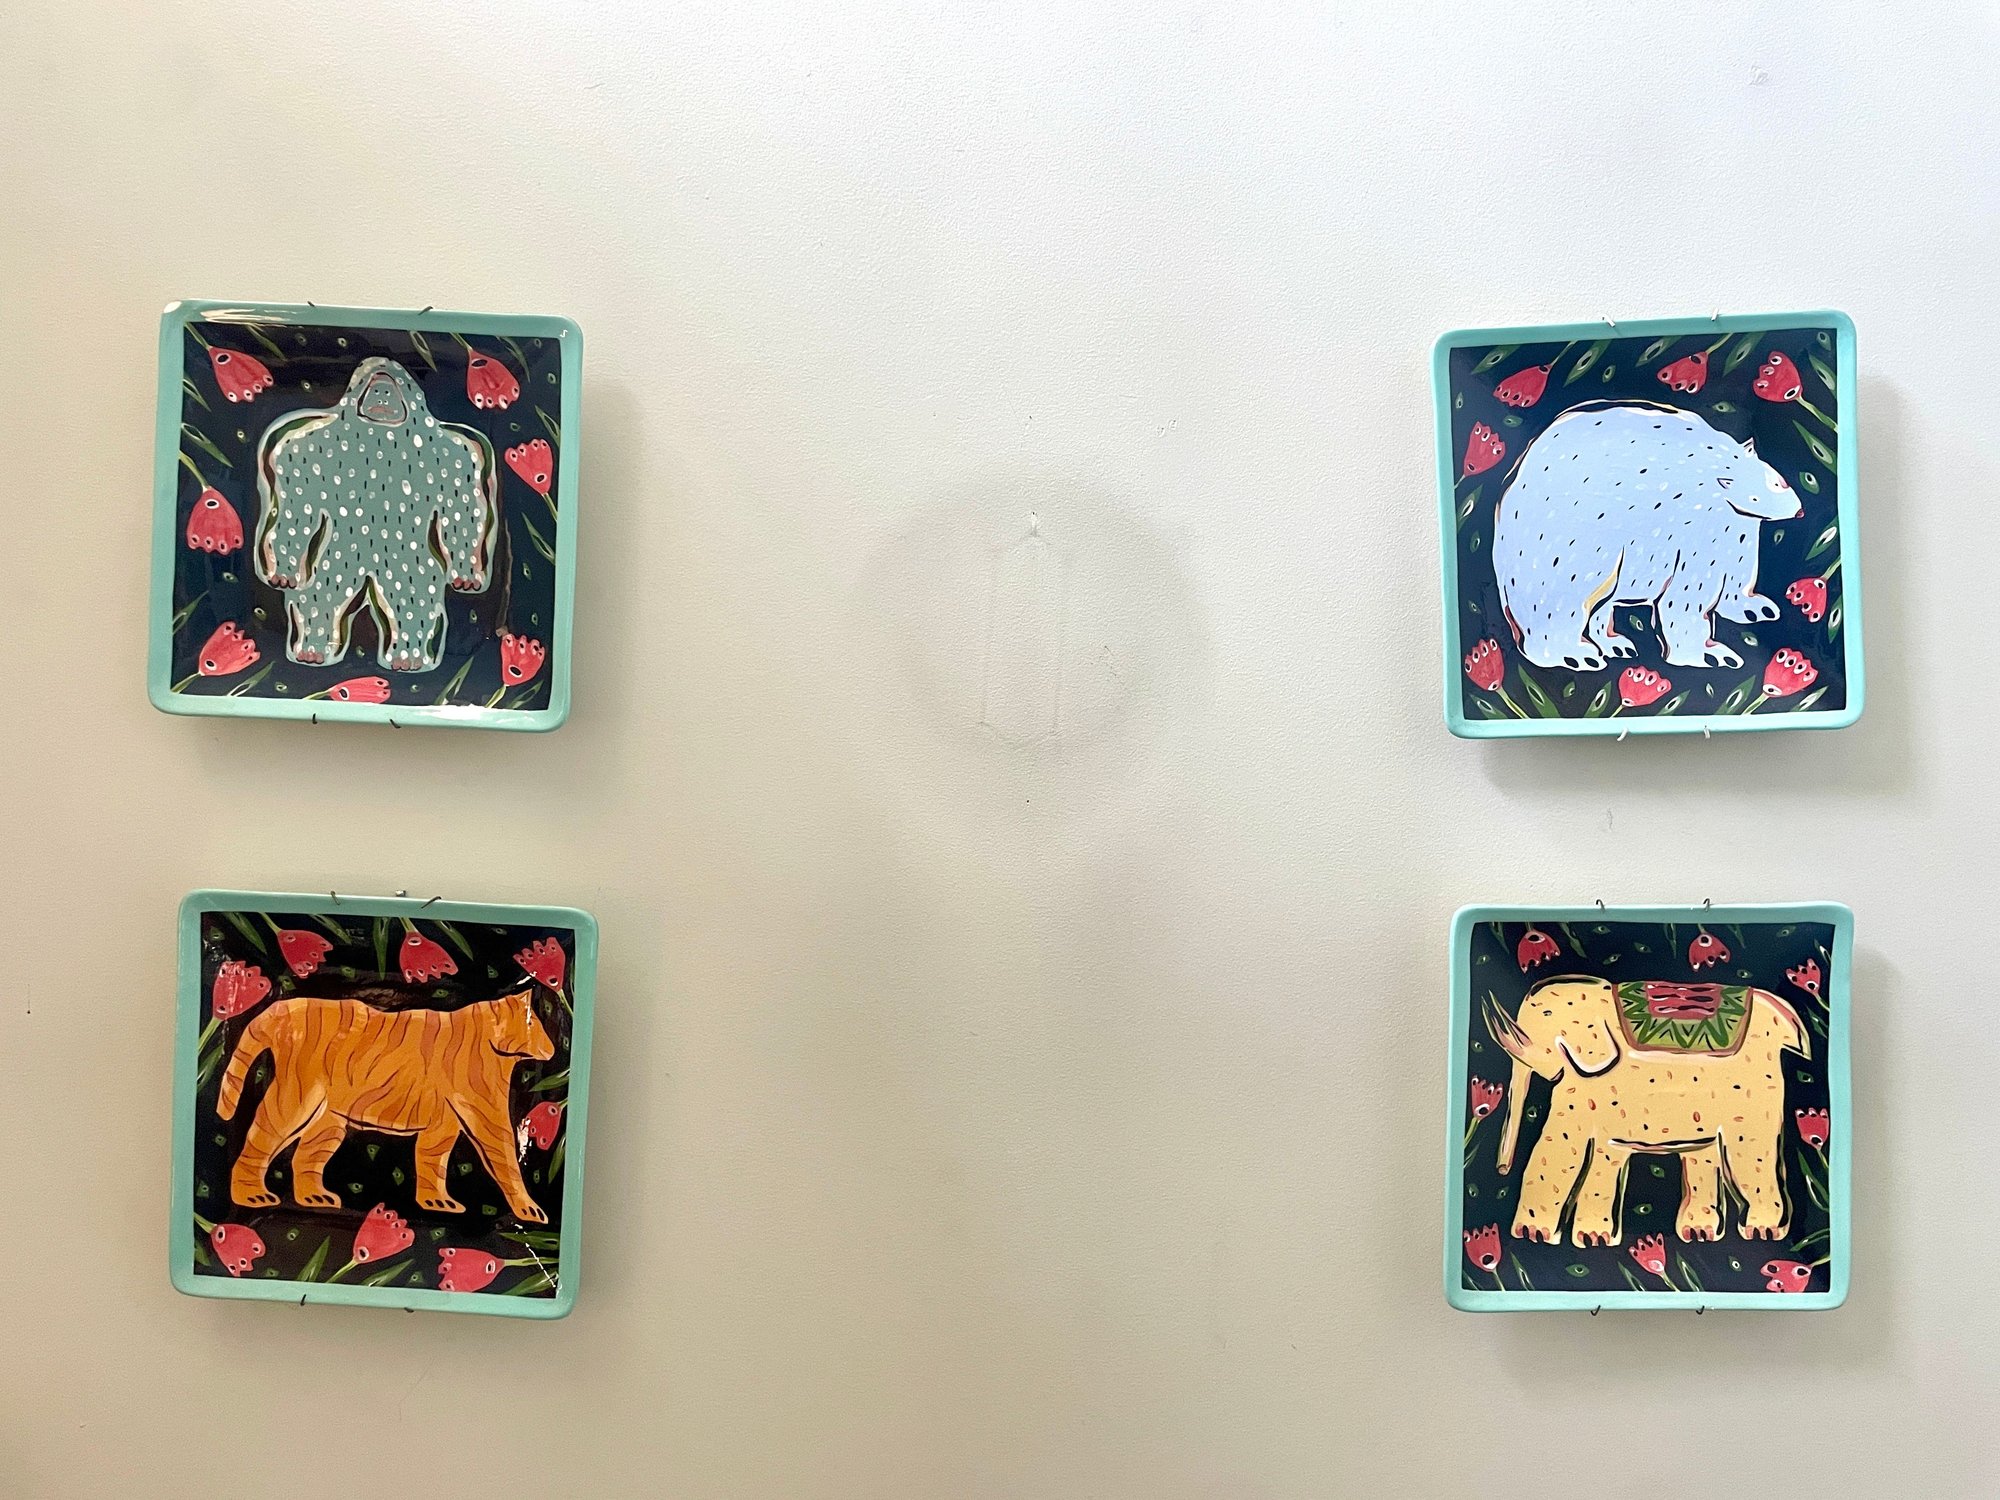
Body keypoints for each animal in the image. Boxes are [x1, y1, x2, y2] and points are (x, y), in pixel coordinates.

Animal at [216, 989, 555, 1224]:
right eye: (535, 1024)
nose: (553, 1049)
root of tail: (285, 1006)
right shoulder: (486, 1115)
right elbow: (507, 1159)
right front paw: (531, 1210)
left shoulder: (443, 1126)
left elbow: (432, 1162)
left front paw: (437, 1203)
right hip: (296, 1100)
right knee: (261, 1139)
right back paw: (252, 1196)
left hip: (328, 1121)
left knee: (306, 1156)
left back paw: (314, 1197)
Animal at [1487, 975, 1808, 1248]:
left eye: (1543, 1022)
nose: (1501, 1170)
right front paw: (1574, 1238)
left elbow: (1567, 1145)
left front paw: (1558, 1236)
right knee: (1703, 1153)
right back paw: (1700, 1233)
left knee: (1751, 1153)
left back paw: (1762, 1231)